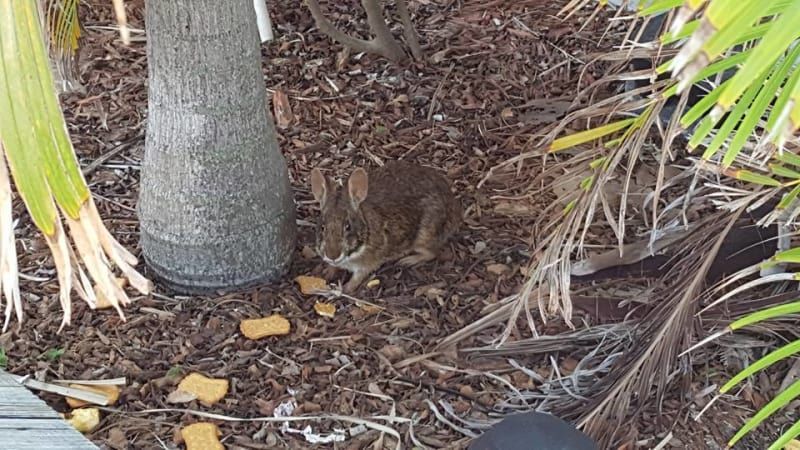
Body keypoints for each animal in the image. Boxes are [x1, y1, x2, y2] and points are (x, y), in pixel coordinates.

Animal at [309, 160, 461, 293]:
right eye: (322, 227)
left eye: (348, 226)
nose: (332, 255)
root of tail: (454, 208)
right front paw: (327, 272)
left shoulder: (367, 264)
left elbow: (358, 277)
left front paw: (345, 289)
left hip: (425, 235)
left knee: (432, 253)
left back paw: (407, 261)